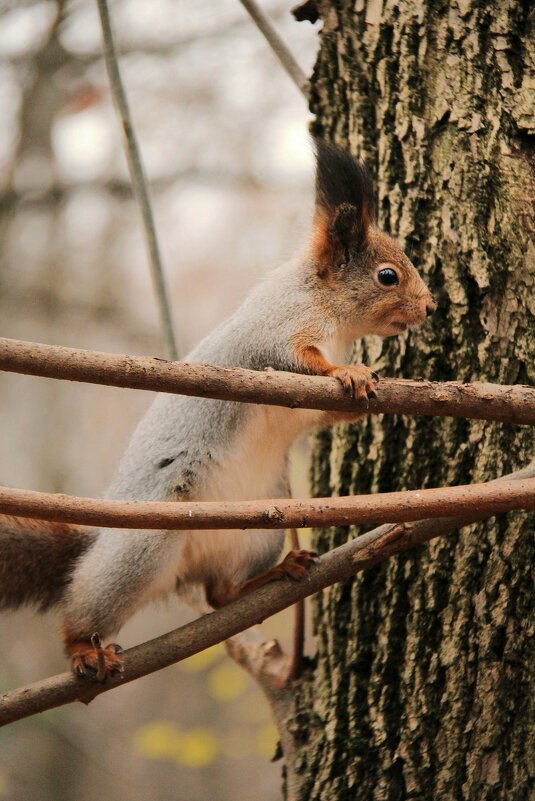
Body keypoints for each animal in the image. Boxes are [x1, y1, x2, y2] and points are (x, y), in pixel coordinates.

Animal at [0, 141, 436, 680]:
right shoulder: (275, 334)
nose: (431, 307)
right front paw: (348, 372)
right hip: (145, 543)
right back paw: (83, 648)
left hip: (256, 535)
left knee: (219, 594)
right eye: (387, 276)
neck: (326, 303)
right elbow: (298, 363)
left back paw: (276, 573)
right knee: (87, 609)